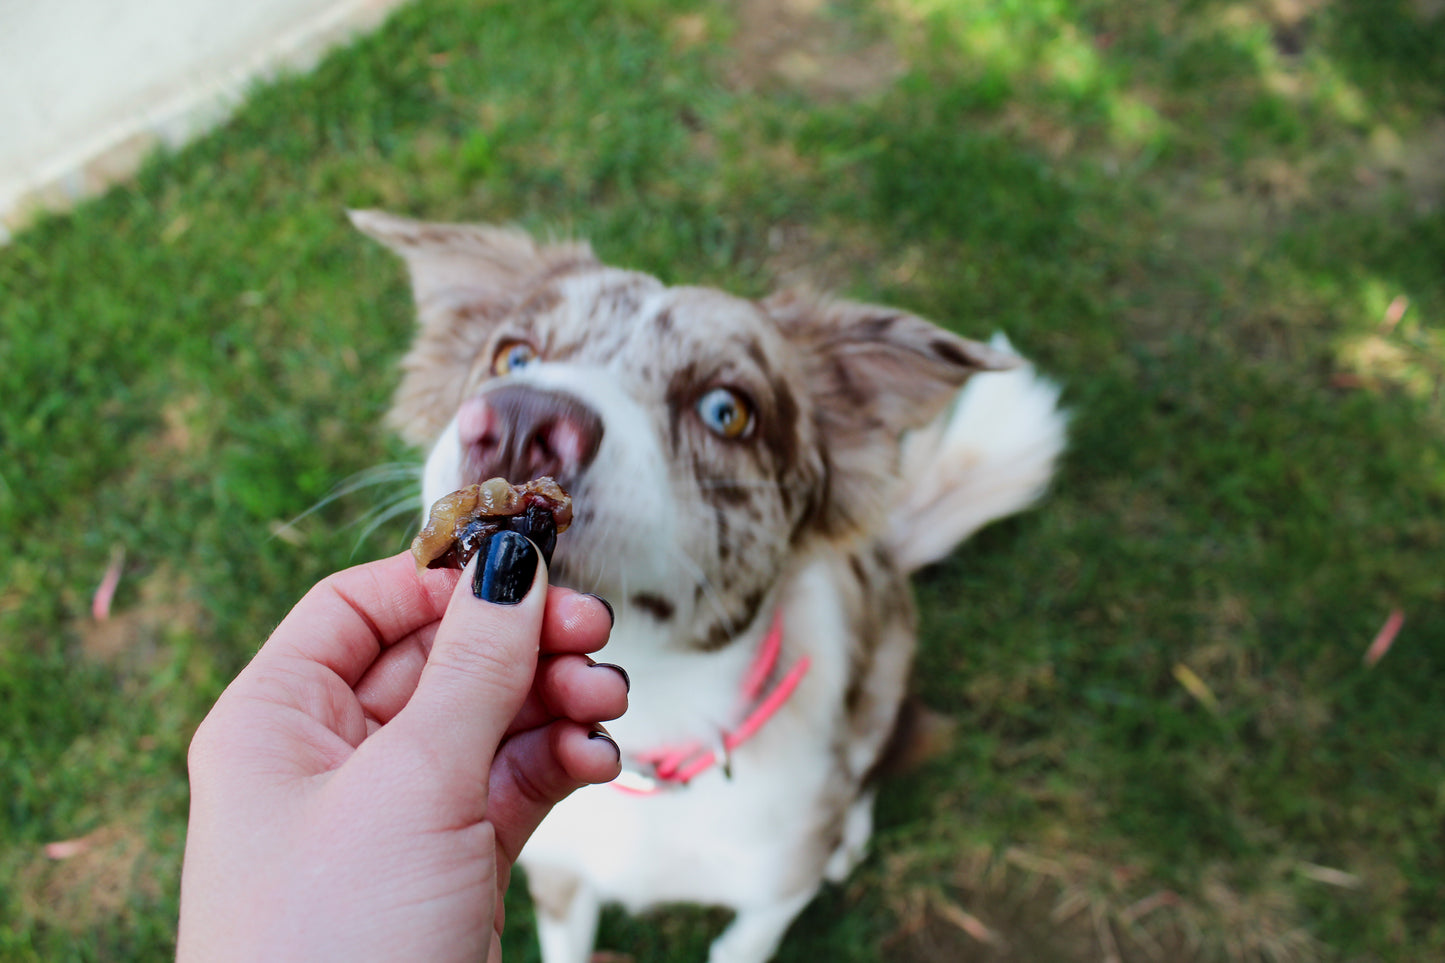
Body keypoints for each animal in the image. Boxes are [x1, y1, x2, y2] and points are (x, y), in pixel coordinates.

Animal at [354, 209, 1069, 960]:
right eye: (512, 358)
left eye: (727, 410)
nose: (521, 417)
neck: (652, 720)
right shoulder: (557, 880)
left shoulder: (773, 897)